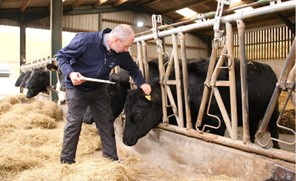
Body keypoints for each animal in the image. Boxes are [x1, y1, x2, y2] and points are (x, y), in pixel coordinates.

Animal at [123, 58, 280, 148]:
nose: (124, 140)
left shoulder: (220, 122)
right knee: (252, 132)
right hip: (252, 116)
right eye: (125, 111)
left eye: (137, 114)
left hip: (273, 111)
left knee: (274, 131)